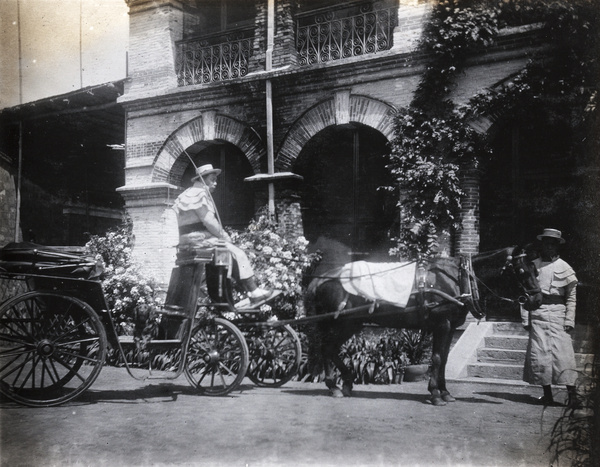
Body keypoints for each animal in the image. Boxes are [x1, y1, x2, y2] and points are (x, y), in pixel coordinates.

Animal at [308, 243, 540, 408]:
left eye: (535, 270)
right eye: (521, 270)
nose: (536, 300)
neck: (457, 279)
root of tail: (321, 279)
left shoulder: (451, 327)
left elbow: (444, 359)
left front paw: (445, 393)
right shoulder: (442, 325)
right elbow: (436, 358)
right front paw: (436, 394)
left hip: (352, 324)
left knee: (330, 349)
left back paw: (345, 384)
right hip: (341, 323)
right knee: (327, 348)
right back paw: (334, 386)